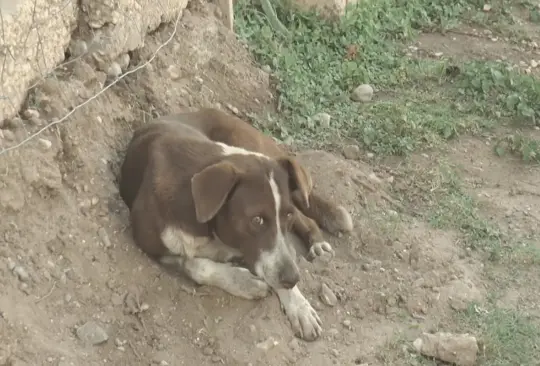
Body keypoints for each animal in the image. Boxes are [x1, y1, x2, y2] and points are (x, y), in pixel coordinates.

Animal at [119, 107, 352, 342]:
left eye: (286, 216)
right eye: (256, 220)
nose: (293, 279)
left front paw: (299, 305)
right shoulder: (151, 246)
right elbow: (196, 265)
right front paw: (243, 282)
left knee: (306, 211)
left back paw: (317, 244)